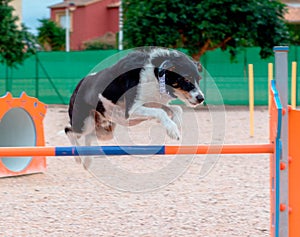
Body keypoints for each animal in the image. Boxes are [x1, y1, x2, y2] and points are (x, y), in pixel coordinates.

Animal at [64, 47, 205, 145]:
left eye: (199, 79)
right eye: (186, 79)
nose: (201, 98)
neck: (155, 75)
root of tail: (78, 85)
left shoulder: (152, 102)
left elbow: (176, 109)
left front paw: (175, 123)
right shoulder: (131, 110)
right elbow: (161, 112)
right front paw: (172, 130)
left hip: (105, 129)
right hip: (82, 124)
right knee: (68, 130)